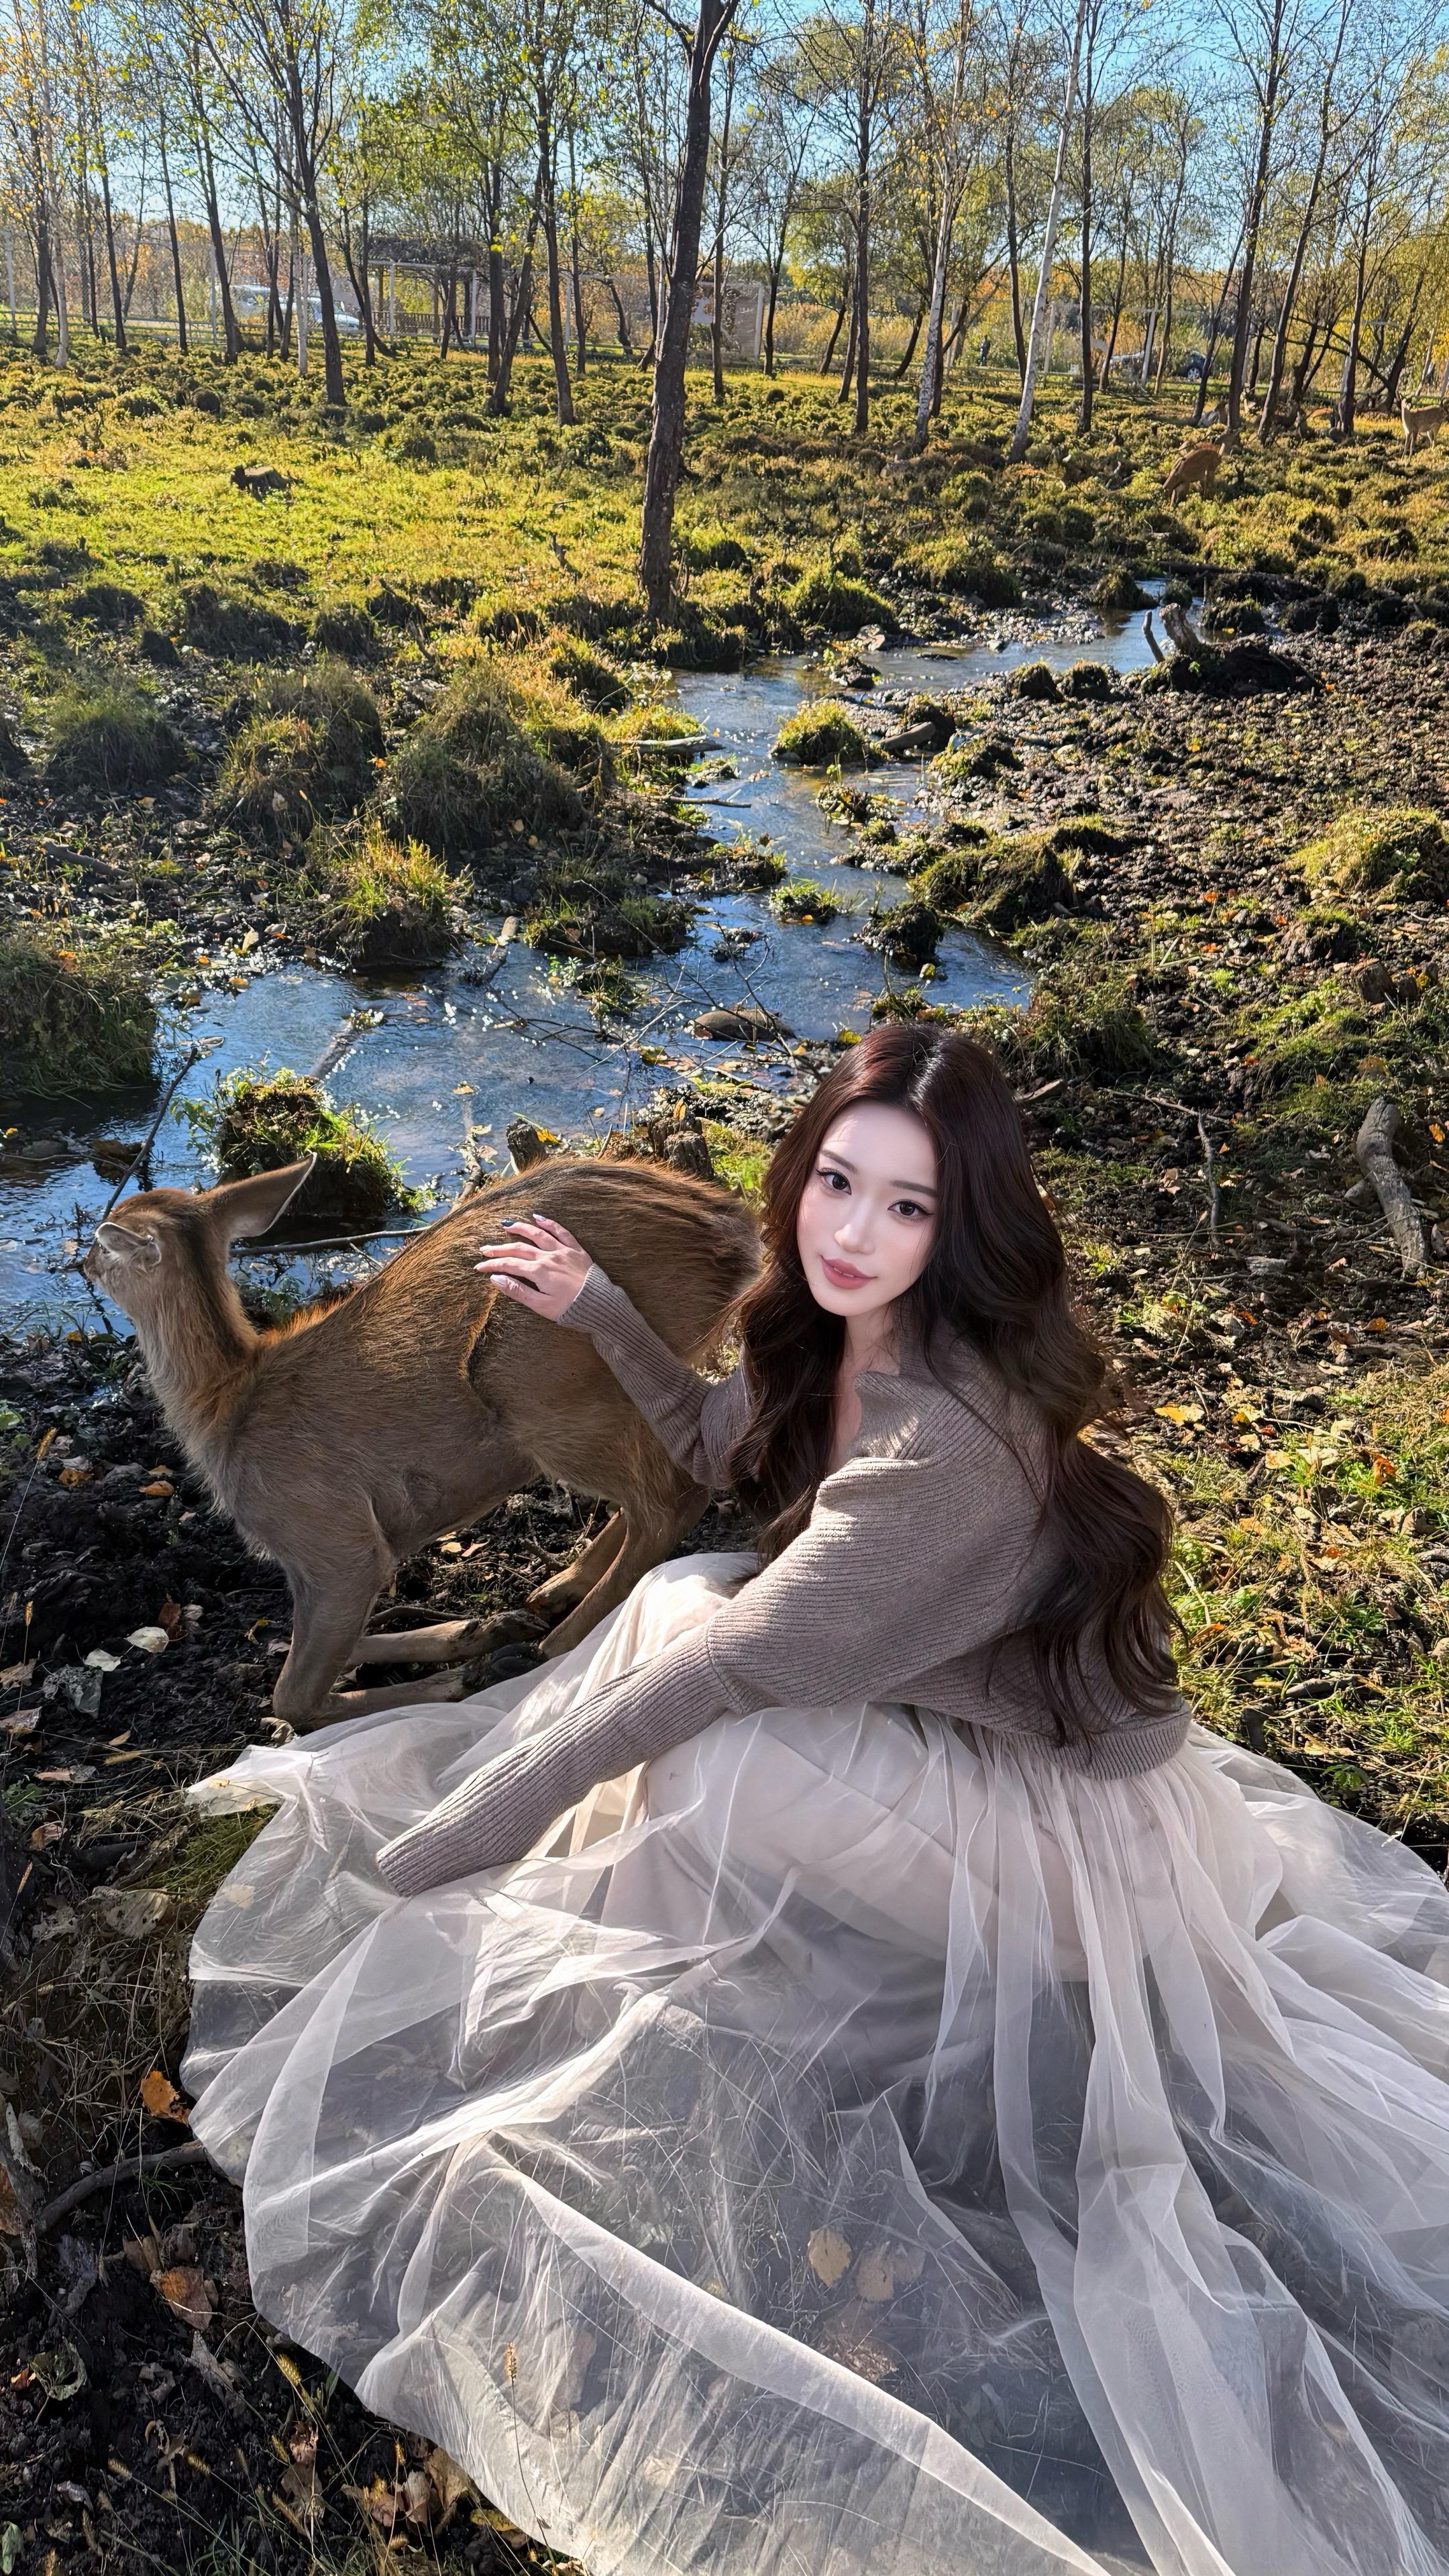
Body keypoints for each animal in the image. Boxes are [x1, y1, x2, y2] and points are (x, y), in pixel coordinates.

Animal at [84, 1155, 758, 1731]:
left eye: (101, 1245)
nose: (82, 1262)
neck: (226, 1410)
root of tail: (736, 1234)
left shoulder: (332, 1539)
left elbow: (293, 1695)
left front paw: (472, 1670)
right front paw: (479, 1630)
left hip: (539, 1382)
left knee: (674, 1497)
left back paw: (553, 1647)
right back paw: (549, 1596)